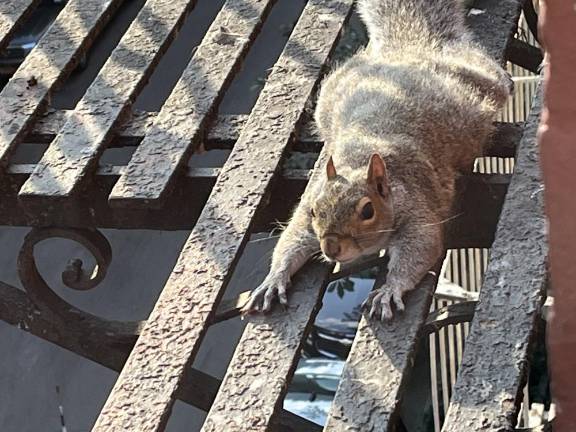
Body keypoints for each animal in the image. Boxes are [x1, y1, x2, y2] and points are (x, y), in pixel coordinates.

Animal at [241, 0, 510, 318]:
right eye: (315, 211)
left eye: (368, 211)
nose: (331, 248)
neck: (360, 161)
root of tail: (409, 48)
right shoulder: (307, 212)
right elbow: (291, 241)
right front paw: (274, 279)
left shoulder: (417, 208)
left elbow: (420, 249)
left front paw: (390, 289)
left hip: (480, 81)